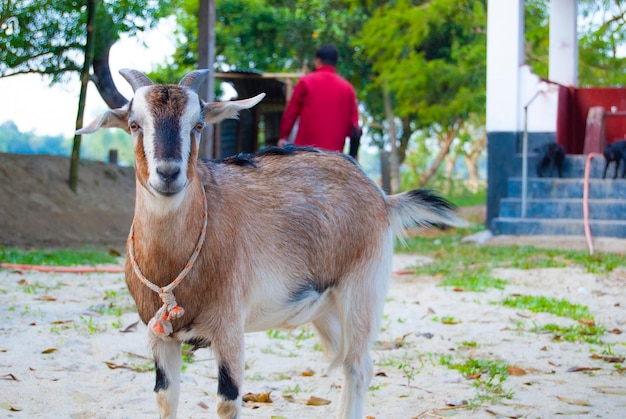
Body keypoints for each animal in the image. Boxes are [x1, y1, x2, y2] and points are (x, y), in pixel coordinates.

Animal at [77, 69, 464, 419]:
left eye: (198, 125)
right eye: (134, 125)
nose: (169, 173)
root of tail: (384, 198)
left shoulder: (229, 328)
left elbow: (227, 402)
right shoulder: (159, 336)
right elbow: (165, 399)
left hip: (363, 290)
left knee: (359, 367)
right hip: (325, 306)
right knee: (345, 362)